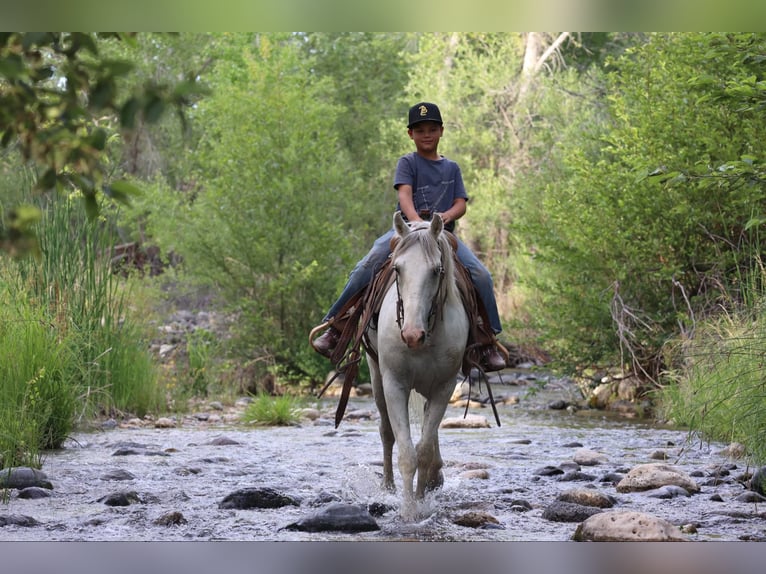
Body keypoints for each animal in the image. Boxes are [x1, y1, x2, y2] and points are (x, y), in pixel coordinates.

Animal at [366, 211, 469, 520]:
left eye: (436, 270)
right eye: (397, 269)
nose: (412, 335)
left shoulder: (444, 388)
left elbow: (423, 451)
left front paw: (423, 503)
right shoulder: (395, 384)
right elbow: (406, 452)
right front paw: (408, 510)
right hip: (376, 376)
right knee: (386, 432)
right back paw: (388, 487)